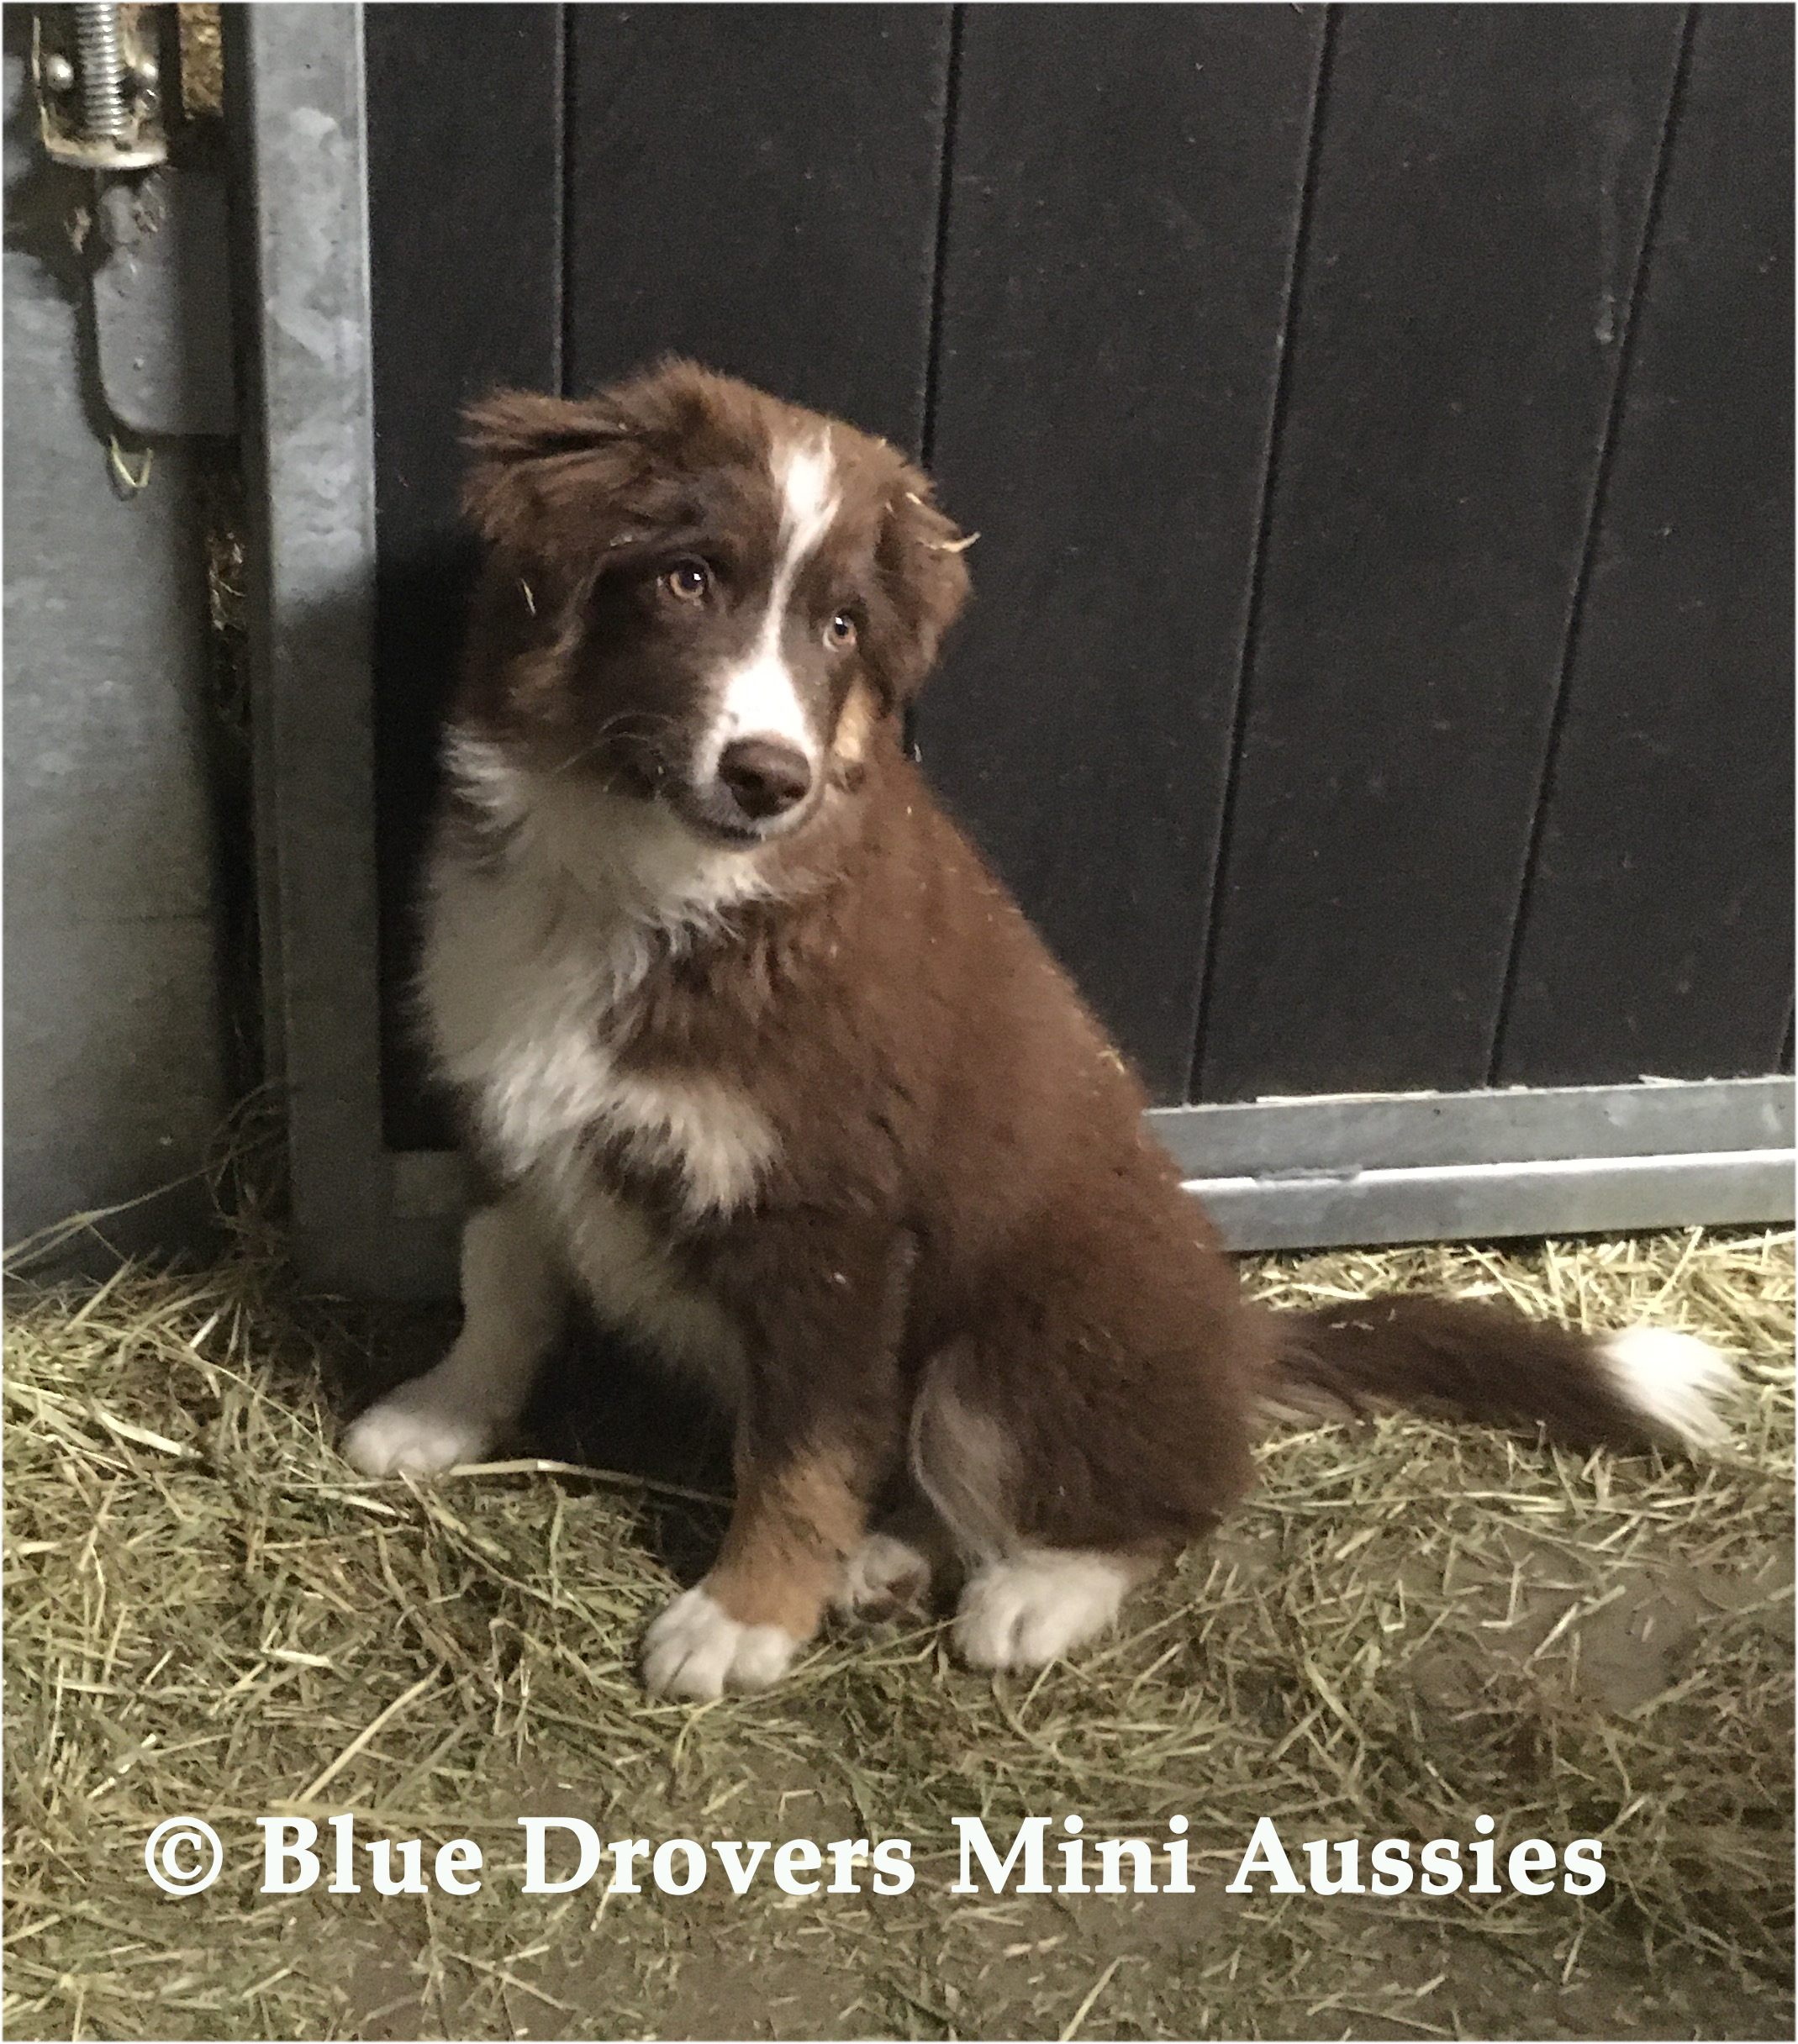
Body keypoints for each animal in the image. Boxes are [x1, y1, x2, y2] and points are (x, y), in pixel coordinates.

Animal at [343, 359, 1737, 1700]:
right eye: (687, 578)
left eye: (839, 627)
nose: (768, 778)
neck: (644, 883)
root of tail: (1235, 1339)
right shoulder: (515, 1109)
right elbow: (499, 1277)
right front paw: (438, 1417)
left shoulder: (836, 1223)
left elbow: (799, 1446)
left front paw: (744, 1618)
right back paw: (888, 1559)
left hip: (1011, 1348)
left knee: (1154, 1504)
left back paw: (1026, 1597)